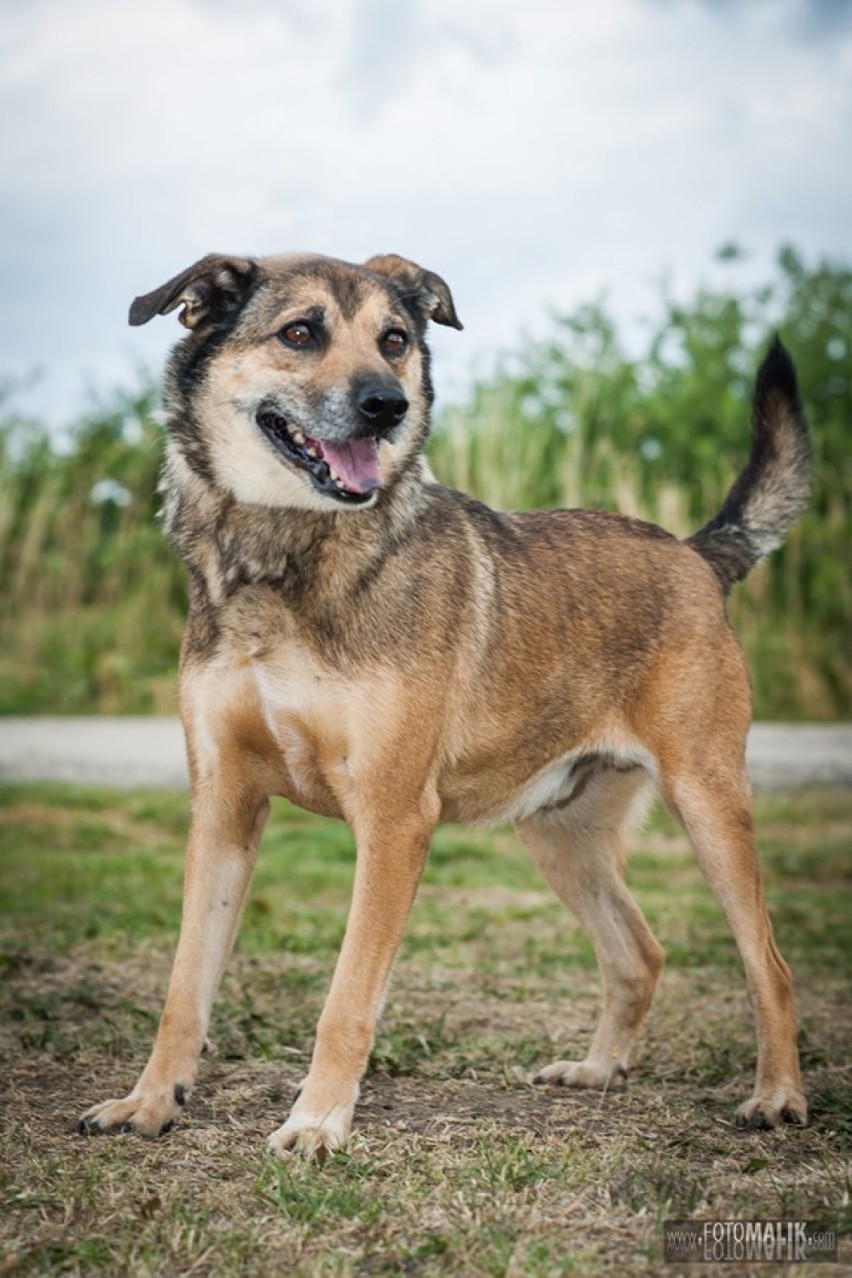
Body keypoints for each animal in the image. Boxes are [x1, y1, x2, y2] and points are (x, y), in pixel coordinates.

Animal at [79, 249, 812, 1160]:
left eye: (394, 340)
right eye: (300, 332)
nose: (386, 407)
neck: (289, 556)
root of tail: (696, 554)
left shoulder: (394, 819)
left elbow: (347, 999)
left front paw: (318, 1121)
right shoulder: (222, 809)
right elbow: (184, 986)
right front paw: (150, 1102)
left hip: (708, 804)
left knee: (769, 965)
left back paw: (778, 1095)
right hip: (561, 835)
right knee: (638, 953)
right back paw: (599, 1070)